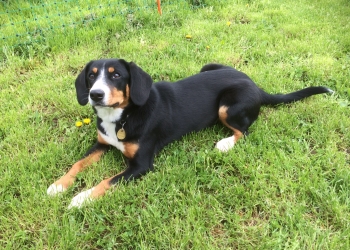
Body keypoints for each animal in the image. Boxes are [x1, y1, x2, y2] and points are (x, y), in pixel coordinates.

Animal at [45, 59, 330, 209]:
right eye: (91, 77)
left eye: (116, 76)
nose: (95, 95)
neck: (123, 116)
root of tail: (256, 86)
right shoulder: (101, 143)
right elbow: (77, 164)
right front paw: (59, 185)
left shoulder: (141, 166)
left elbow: (107, 181)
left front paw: (80, 198)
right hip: (209, 66)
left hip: (228, 107)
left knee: (245, 131)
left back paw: (225, 143)